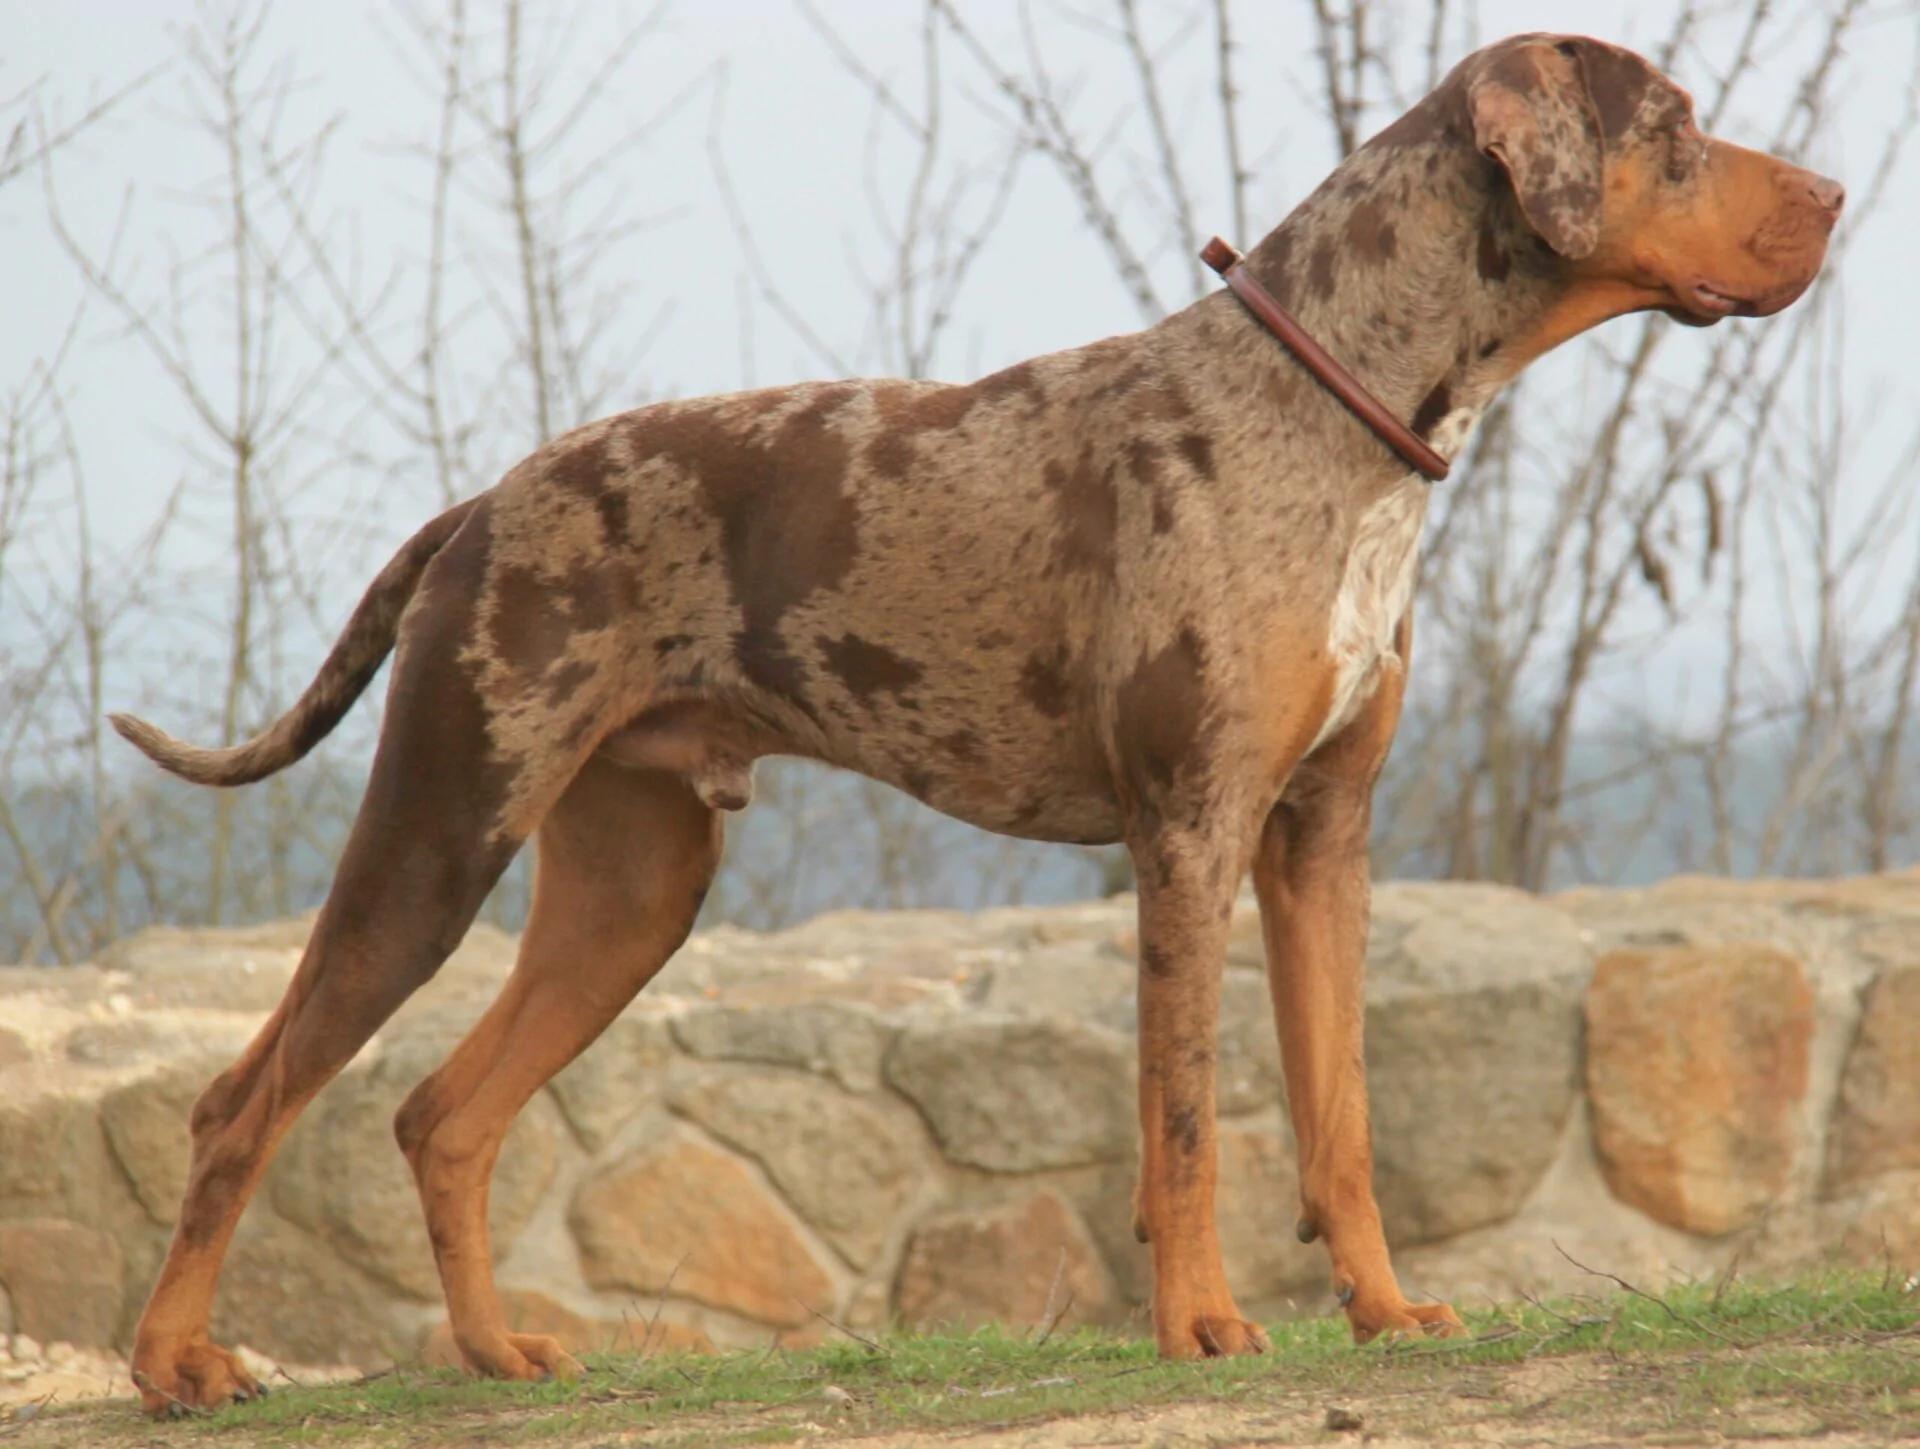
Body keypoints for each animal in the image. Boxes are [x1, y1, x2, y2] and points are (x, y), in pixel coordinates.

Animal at [108, 31, 1843, 1420]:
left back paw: (490, 1351)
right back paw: (176, 1362)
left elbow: (1340, 1120)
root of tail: (480, 502)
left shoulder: (1321, 839)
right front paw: (1201, 1324)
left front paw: (1383, 1308)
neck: (1327, 411)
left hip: (632, 891)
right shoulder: (1189, 833)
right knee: (241, 1103)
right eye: (1678, 121)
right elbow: (1186, 1121)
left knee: (442, 1117)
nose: (1833, 198)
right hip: (439, 834)